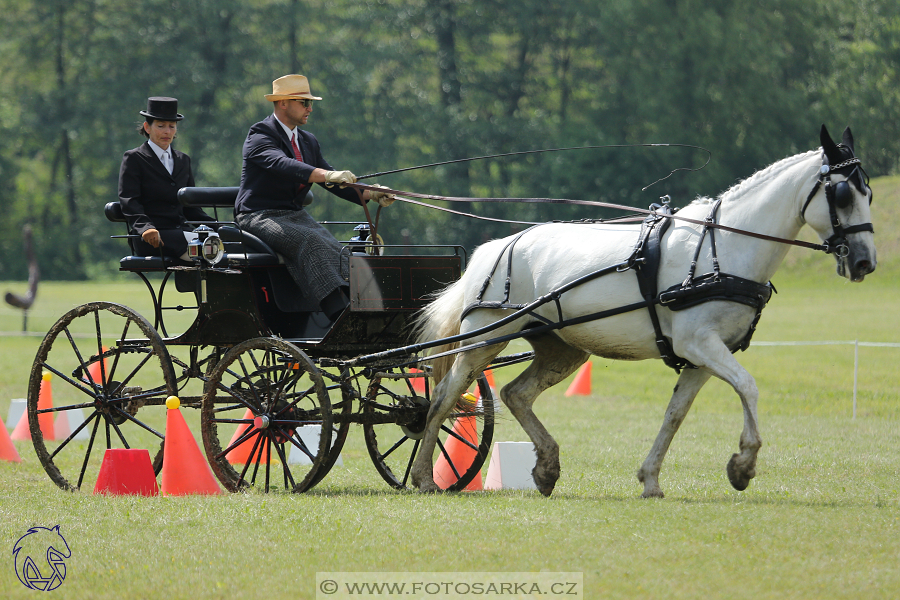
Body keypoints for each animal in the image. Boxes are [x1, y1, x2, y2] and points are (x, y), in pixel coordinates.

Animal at [412, 126, 876, 496]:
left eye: (868, 192)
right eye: (842, 193)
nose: (864, 262)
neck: (724, 248)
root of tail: (496, 246)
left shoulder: (704, 356)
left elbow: (675, 414)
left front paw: (651, 478)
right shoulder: (699, 343)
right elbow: (748, 386)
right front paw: (743, 465)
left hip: (562, 348)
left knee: (516, 394)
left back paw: (546, 468)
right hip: (483, 339)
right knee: (443, 396)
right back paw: (423, 477)